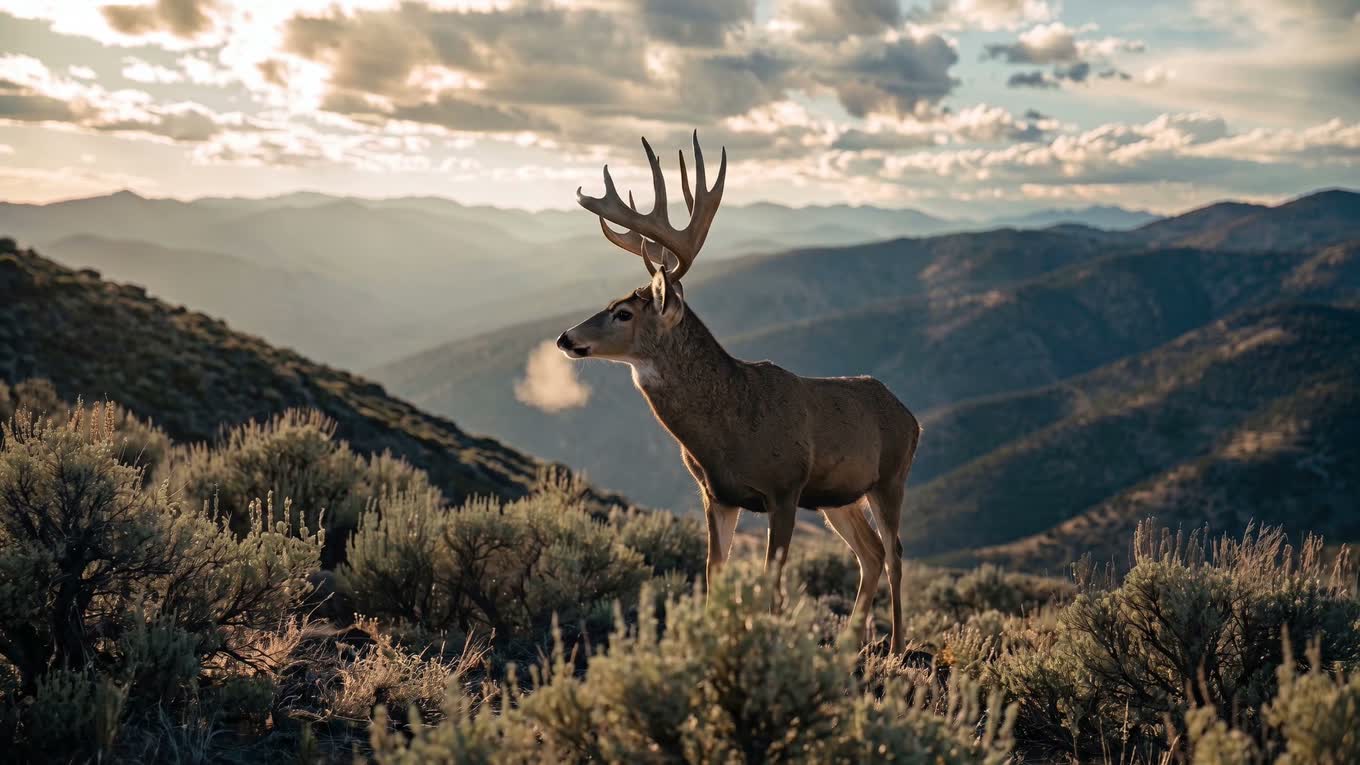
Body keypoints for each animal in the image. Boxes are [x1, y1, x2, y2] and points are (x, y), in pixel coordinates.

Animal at [556, 133, 922, 653]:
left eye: (623, 312)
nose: (566, 337)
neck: (729, 430)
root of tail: (911, 418)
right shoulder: (716, 494)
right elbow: (715, 573)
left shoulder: (785, 487)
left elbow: (772, 580)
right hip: (839, 497)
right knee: (869, 554)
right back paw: (849, 644)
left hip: (890, 478)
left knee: (894, 552)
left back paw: (894, 647)